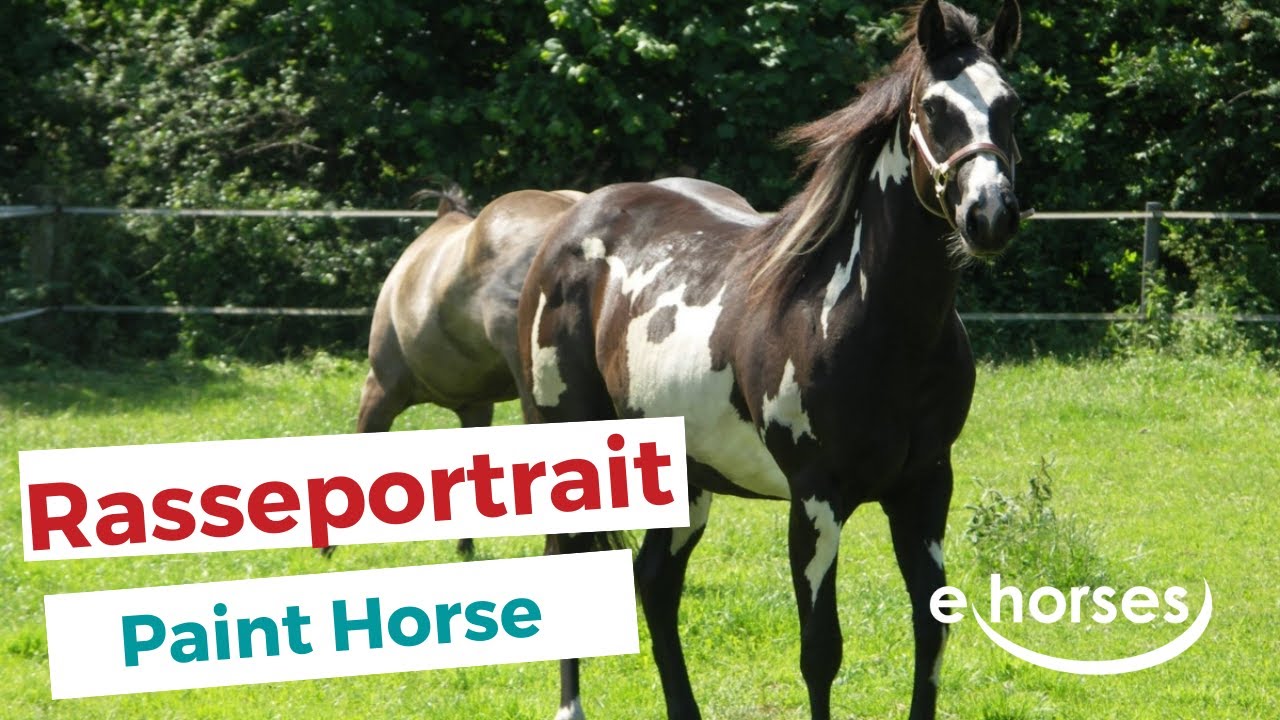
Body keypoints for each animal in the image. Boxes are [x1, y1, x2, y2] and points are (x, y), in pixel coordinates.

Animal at [515, 1, 1023, 718]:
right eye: (933, 108)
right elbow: (821, 652)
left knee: (657, 582)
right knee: (573, 564)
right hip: (568, 455)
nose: (990, 215)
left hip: (688, 477)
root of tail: (571, 223)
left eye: (1013, 106)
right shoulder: (815, 499)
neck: (873, 326)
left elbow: (932, 630)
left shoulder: (925, 487)